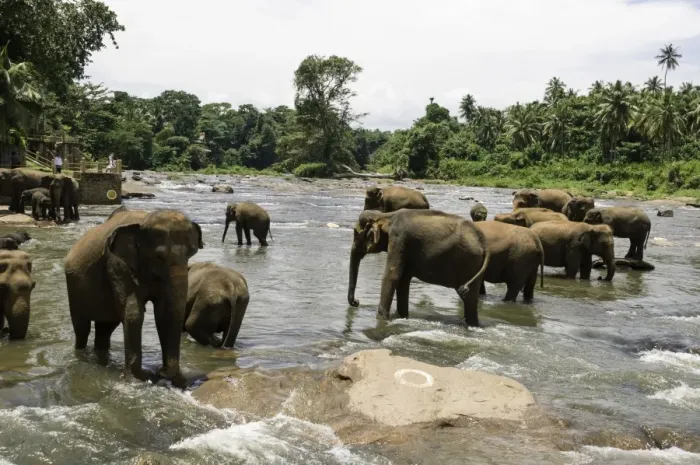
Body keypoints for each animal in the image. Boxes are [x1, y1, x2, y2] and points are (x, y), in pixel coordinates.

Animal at [64, 206, 204, 387]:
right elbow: (133, 312)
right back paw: (82, 356)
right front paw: (138, 380)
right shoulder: (117, 264)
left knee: (105, 328)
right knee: (82, 328)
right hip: (73, 289)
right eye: (159, 257)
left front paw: (174, 380)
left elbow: (164, 313)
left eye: (191, 254)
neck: (143, 221)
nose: (161, 372)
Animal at [347, 209, 490, 326]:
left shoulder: (399, 240)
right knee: (470, 299)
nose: (357, 302)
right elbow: (403, 281)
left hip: (468, 262)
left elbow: (392, 275)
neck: (386, 216)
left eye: (355, 232)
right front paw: (402, 317)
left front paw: (381, 320)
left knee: (469, 299)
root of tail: (483, 241)